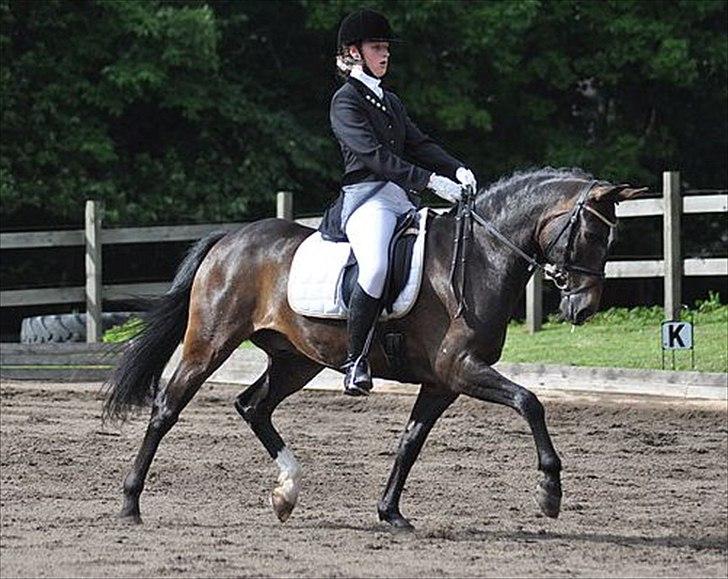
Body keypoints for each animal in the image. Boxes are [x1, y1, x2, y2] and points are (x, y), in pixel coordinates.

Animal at [103, 167, 644, 530]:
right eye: (590, 232)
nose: (583, 309)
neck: (480, 259)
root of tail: (229, 239)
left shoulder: (443, 382)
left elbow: (410, 442)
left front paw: (390, 512)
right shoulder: (461, 368)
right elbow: (529, 402)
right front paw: (549, 492)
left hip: (296, 360)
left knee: (253, 406)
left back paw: (287, 492)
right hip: (209, 344)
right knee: (167, 409)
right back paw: (130, 503)